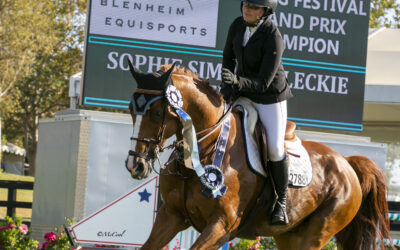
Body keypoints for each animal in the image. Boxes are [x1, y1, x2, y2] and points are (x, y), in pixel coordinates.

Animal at [125, 63, 390, 250]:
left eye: (156, 113)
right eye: (131, 110)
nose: (134, 165)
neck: (200, 154)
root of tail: (347, 164)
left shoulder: (222, 226)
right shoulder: (171, 216)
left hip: (317, 233)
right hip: (289, 236)